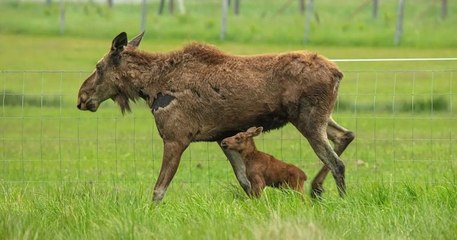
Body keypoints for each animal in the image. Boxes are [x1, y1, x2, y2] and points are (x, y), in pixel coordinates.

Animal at [76, 31, 352, 202]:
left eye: (99, 67)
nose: (81, 96)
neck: (149, 87)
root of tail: (338, 73)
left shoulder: (176, 138)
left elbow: (158, 190)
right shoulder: (224, 138)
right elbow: (246, 183)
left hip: (309, 120)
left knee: (337, 162)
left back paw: (340, 199)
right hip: (319, 118)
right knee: (346, 135)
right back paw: (317, 188)